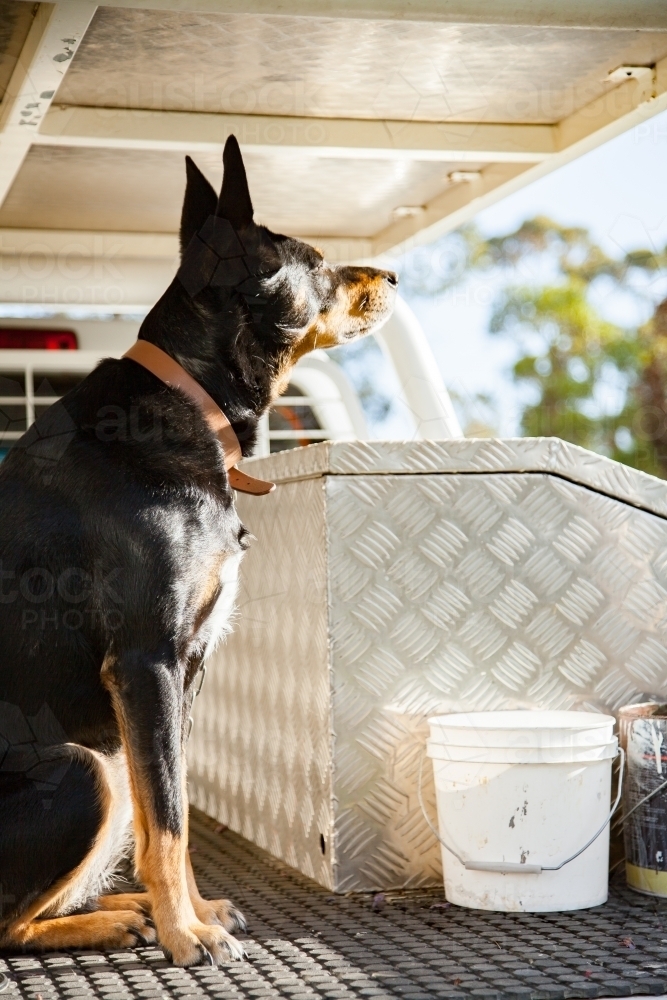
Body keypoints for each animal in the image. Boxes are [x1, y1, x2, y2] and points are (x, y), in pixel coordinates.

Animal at [0, 137, 396, 964]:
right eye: (317, 263)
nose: (391, 277)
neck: (194, 399)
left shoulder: (184, 668)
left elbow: (170, 813)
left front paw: (195, 913)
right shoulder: (146, 659)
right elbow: (171, 821)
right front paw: (188, 935)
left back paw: (122, 910)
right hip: (83, 768)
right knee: (7, 925)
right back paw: (115, 919)